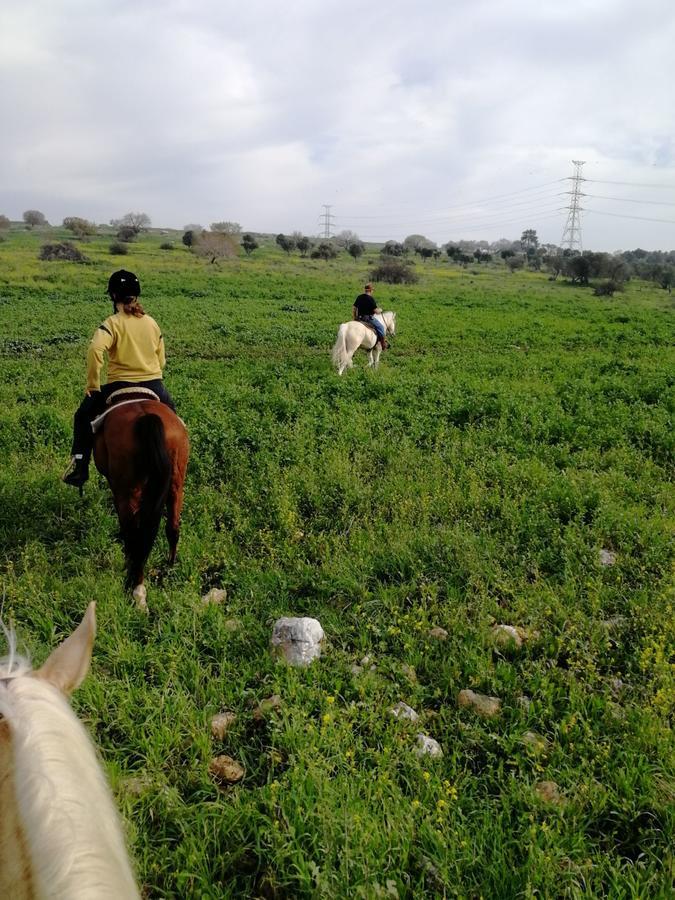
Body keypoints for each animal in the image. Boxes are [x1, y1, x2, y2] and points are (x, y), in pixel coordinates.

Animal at [93, 398, 189, 608]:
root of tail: (147, 417)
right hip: (176, 480)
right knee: (172, 527)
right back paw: (169, 567)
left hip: (127, 489)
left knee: (132, 534)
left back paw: (134, 584)